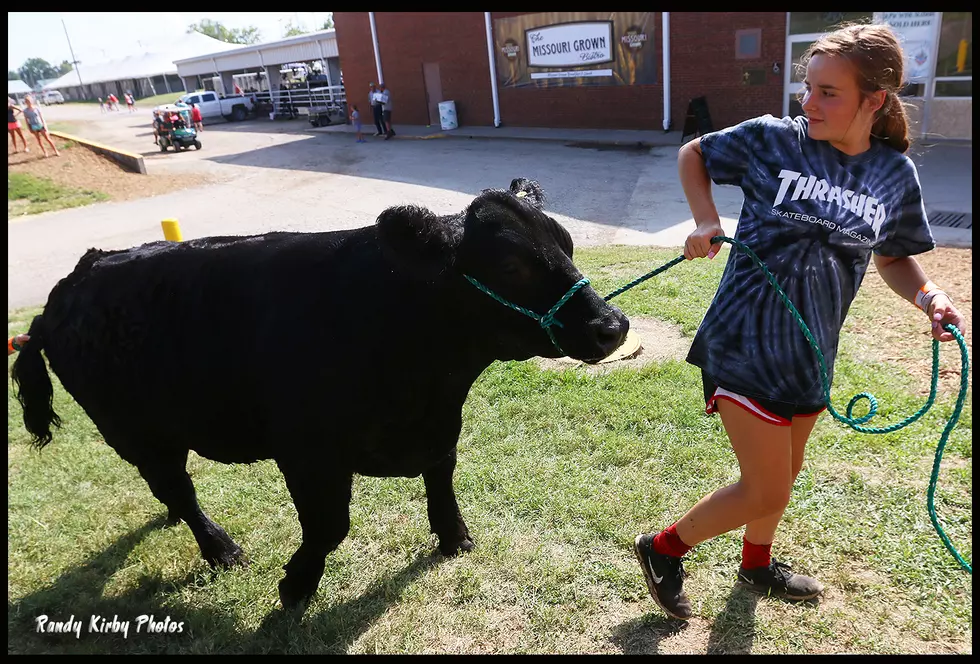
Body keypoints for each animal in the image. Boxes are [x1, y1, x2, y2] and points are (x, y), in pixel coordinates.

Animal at [13, 178, 628, 612]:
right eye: (511, 264)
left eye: (568, 244)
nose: (612, 326)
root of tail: (71, 284)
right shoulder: (308, 453)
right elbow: (330, 526)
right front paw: (295, 587)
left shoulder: (438, 428)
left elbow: (442, 480)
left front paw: (456, 539)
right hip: (132, 427)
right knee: (176, 488)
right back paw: (221, 549)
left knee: (169, 489)